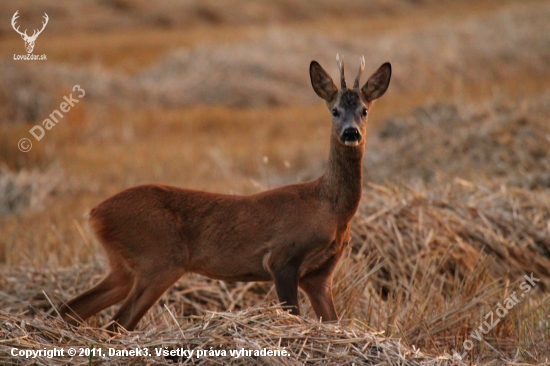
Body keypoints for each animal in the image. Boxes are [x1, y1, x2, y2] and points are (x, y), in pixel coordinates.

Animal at [60, 54, 392, 332]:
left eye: (364, 110)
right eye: (335, 110)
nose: (351, 133)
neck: (330, 210)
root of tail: (94, 213)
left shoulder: (320, 275)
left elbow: (333, 321)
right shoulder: (281, 258)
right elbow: (293, 313)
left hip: (125, 266)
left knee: (73, 308)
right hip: (158, 259)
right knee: (116, 322)